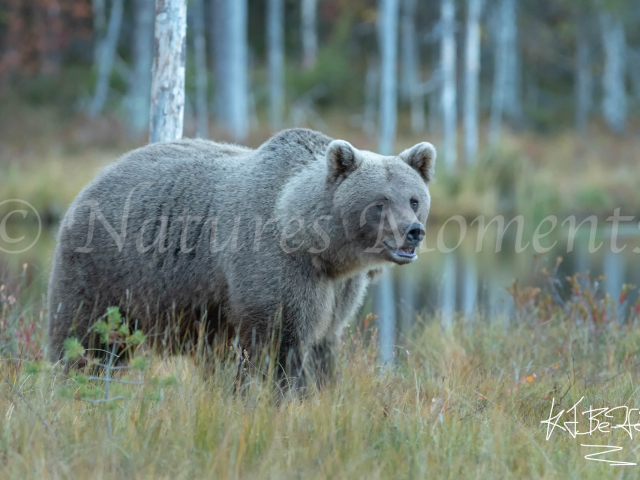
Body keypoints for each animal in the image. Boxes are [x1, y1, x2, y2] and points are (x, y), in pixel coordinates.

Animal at [45, 129, 436, 384]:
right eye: (380, 201)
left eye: (414, 199)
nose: (413, 231)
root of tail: (94, 179)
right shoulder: (276, 269)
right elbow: (279, 342)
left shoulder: (339, 290)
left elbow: (321, 342)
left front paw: (322, 389)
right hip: (104, 269)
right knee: (84, 336)